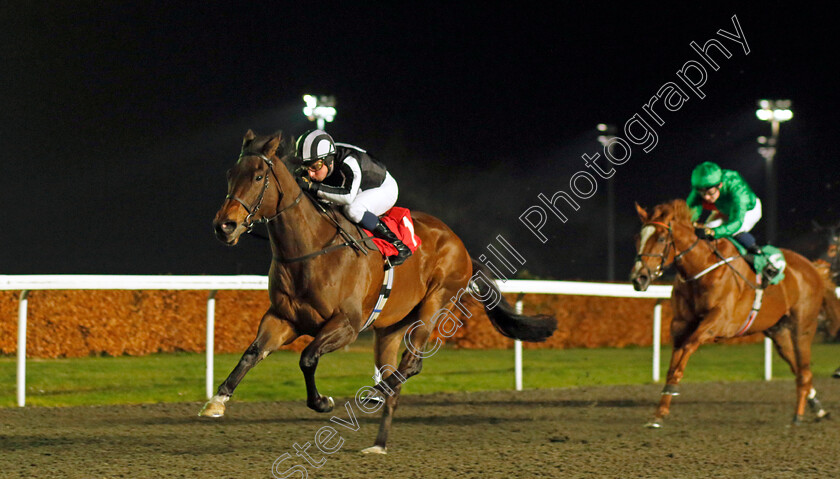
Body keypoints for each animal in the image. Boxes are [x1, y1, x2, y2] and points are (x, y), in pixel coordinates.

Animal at [199, 130, 556, 454]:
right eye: (231, 174)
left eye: (258, 176)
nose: (224, 226)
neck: (311, 249)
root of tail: (461, 247)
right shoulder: (282, 319)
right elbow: (252, 353)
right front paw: (216, 400)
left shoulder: (346, 325)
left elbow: (307, 357)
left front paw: (323, 401)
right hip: (390, 328)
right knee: (395, 379)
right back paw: (378, 442)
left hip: (436, 303)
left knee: (411, 365)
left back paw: (375, 393)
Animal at [628, 199, 836, 428]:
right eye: (638, 238)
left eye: (661, 238)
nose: (639, 278)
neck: (702, 267)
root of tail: (813, 268)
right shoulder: (681, 324)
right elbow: (675, 359)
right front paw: (659, 413)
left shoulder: (720, 322)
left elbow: (688, 347)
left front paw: (672, 389)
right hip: (778, 331)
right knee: (798, 369)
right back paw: (817, 409)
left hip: (803, 326)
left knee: (805, 370)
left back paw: (798, 416)